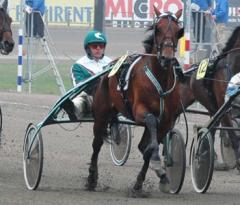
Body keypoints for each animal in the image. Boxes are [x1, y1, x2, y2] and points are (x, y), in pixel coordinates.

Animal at [86, 7, 184, 195]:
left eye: (178, 32)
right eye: (158, 29)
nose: (167, 58)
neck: (160, 79)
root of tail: (107, 70)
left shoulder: (167, 121)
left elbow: (149, 148)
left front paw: (144, 181)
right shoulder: (140, 111)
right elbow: (151, 122)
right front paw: (156, 162)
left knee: (143, 145)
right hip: (101, 113)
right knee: (96, 144)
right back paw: (91, 179)